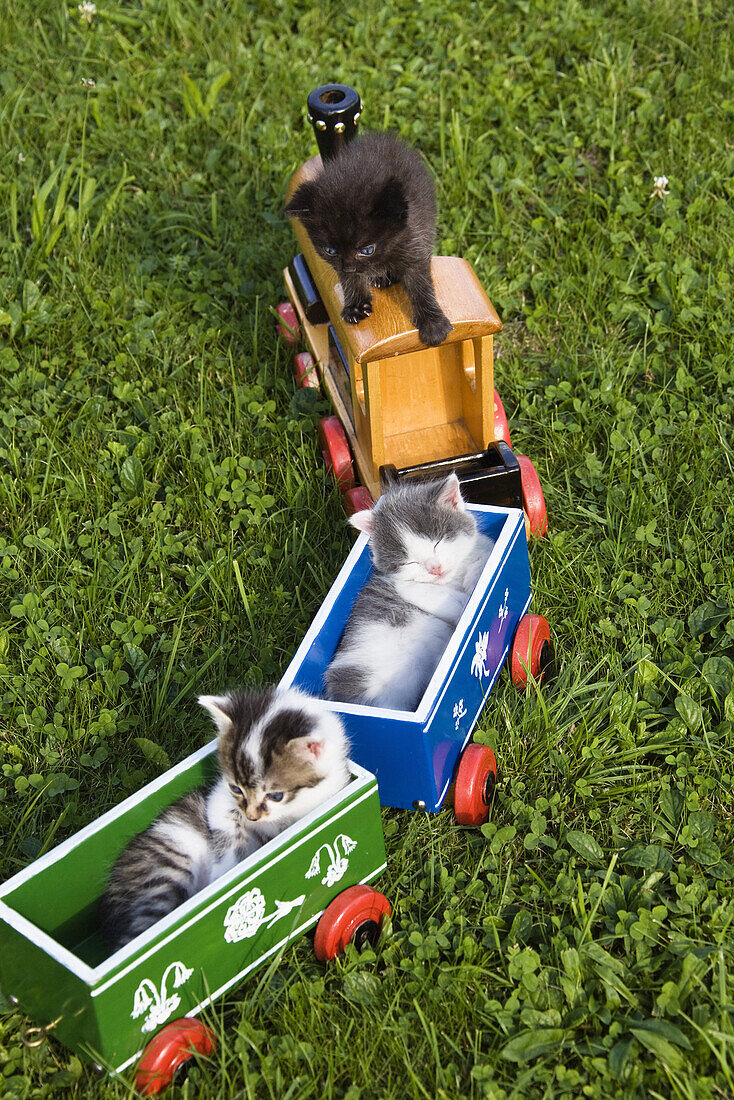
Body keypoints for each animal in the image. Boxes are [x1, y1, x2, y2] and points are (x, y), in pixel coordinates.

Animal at [99, 682, 349, 950]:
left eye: (276, 795)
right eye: (236, 788)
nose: (251, 816)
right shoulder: (218, 799)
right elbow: (229, 833)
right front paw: (226, 870)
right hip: (167, 866)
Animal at [286, 133, 453, 347]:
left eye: (367, 250)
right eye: (330, 250)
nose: (349, 267)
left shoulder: (414, 241)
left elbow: (420, 283)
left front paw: (433, 324)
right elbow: (350, 280)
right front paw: (356, 305)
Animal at [323, 475, 490, 712]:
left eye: (438, 542)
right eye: (410, 562)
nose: (435, 568)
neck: (452, 579)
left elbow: (484, 548)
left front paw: (475, 577)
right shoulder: (400, 584)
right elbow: (434, 595)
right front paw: (464, 602)